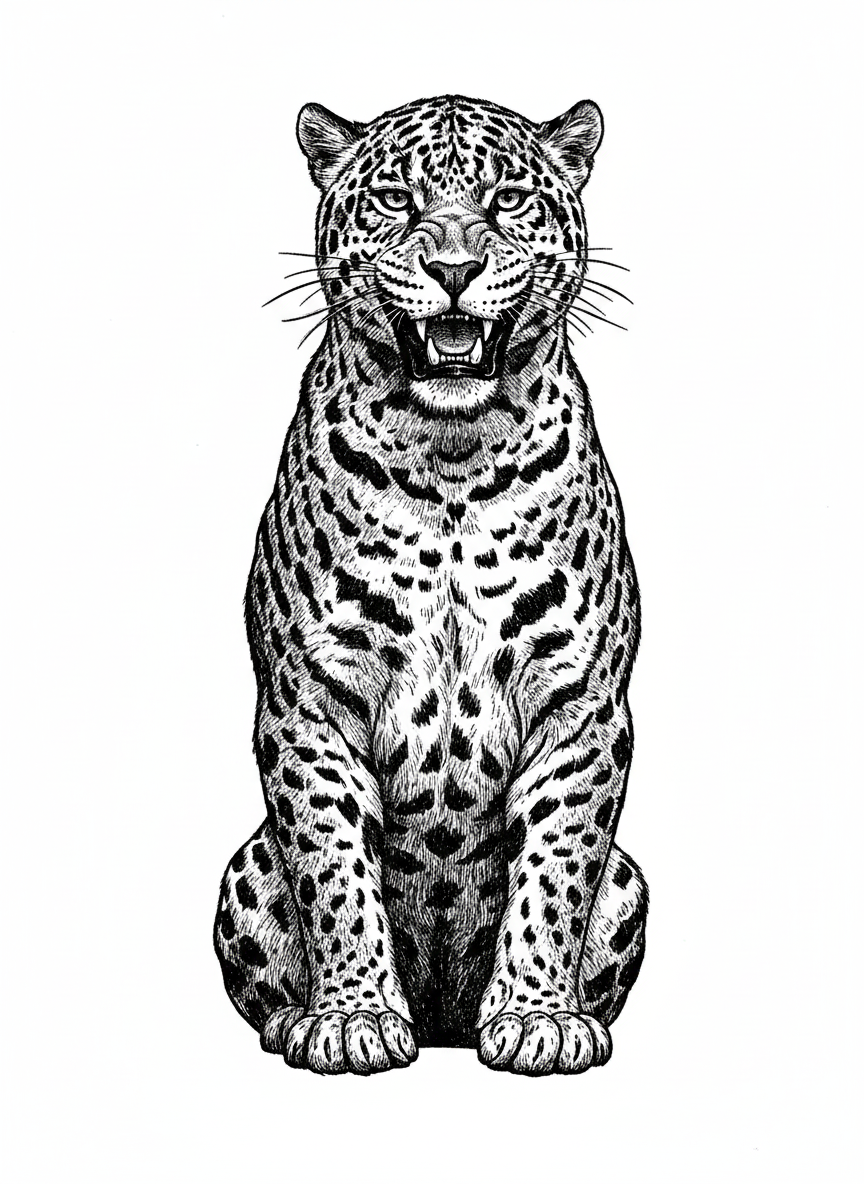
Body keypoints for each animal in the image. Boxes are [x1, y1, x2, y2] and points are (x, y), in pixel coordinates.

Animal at [214, 93, 648, 1076]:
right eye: (395, 202)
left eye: (508, 199)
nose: (454, 266)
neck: (453, 459)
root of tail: (445, 1021)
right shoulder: (310, 704)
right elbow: (334, 872)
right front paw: (351, 1018)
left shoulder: (582, 708)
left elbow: (556, 871)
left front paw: (538, 1017)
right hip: (245, 866)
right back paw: (297, 1020)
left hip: (632, 877)